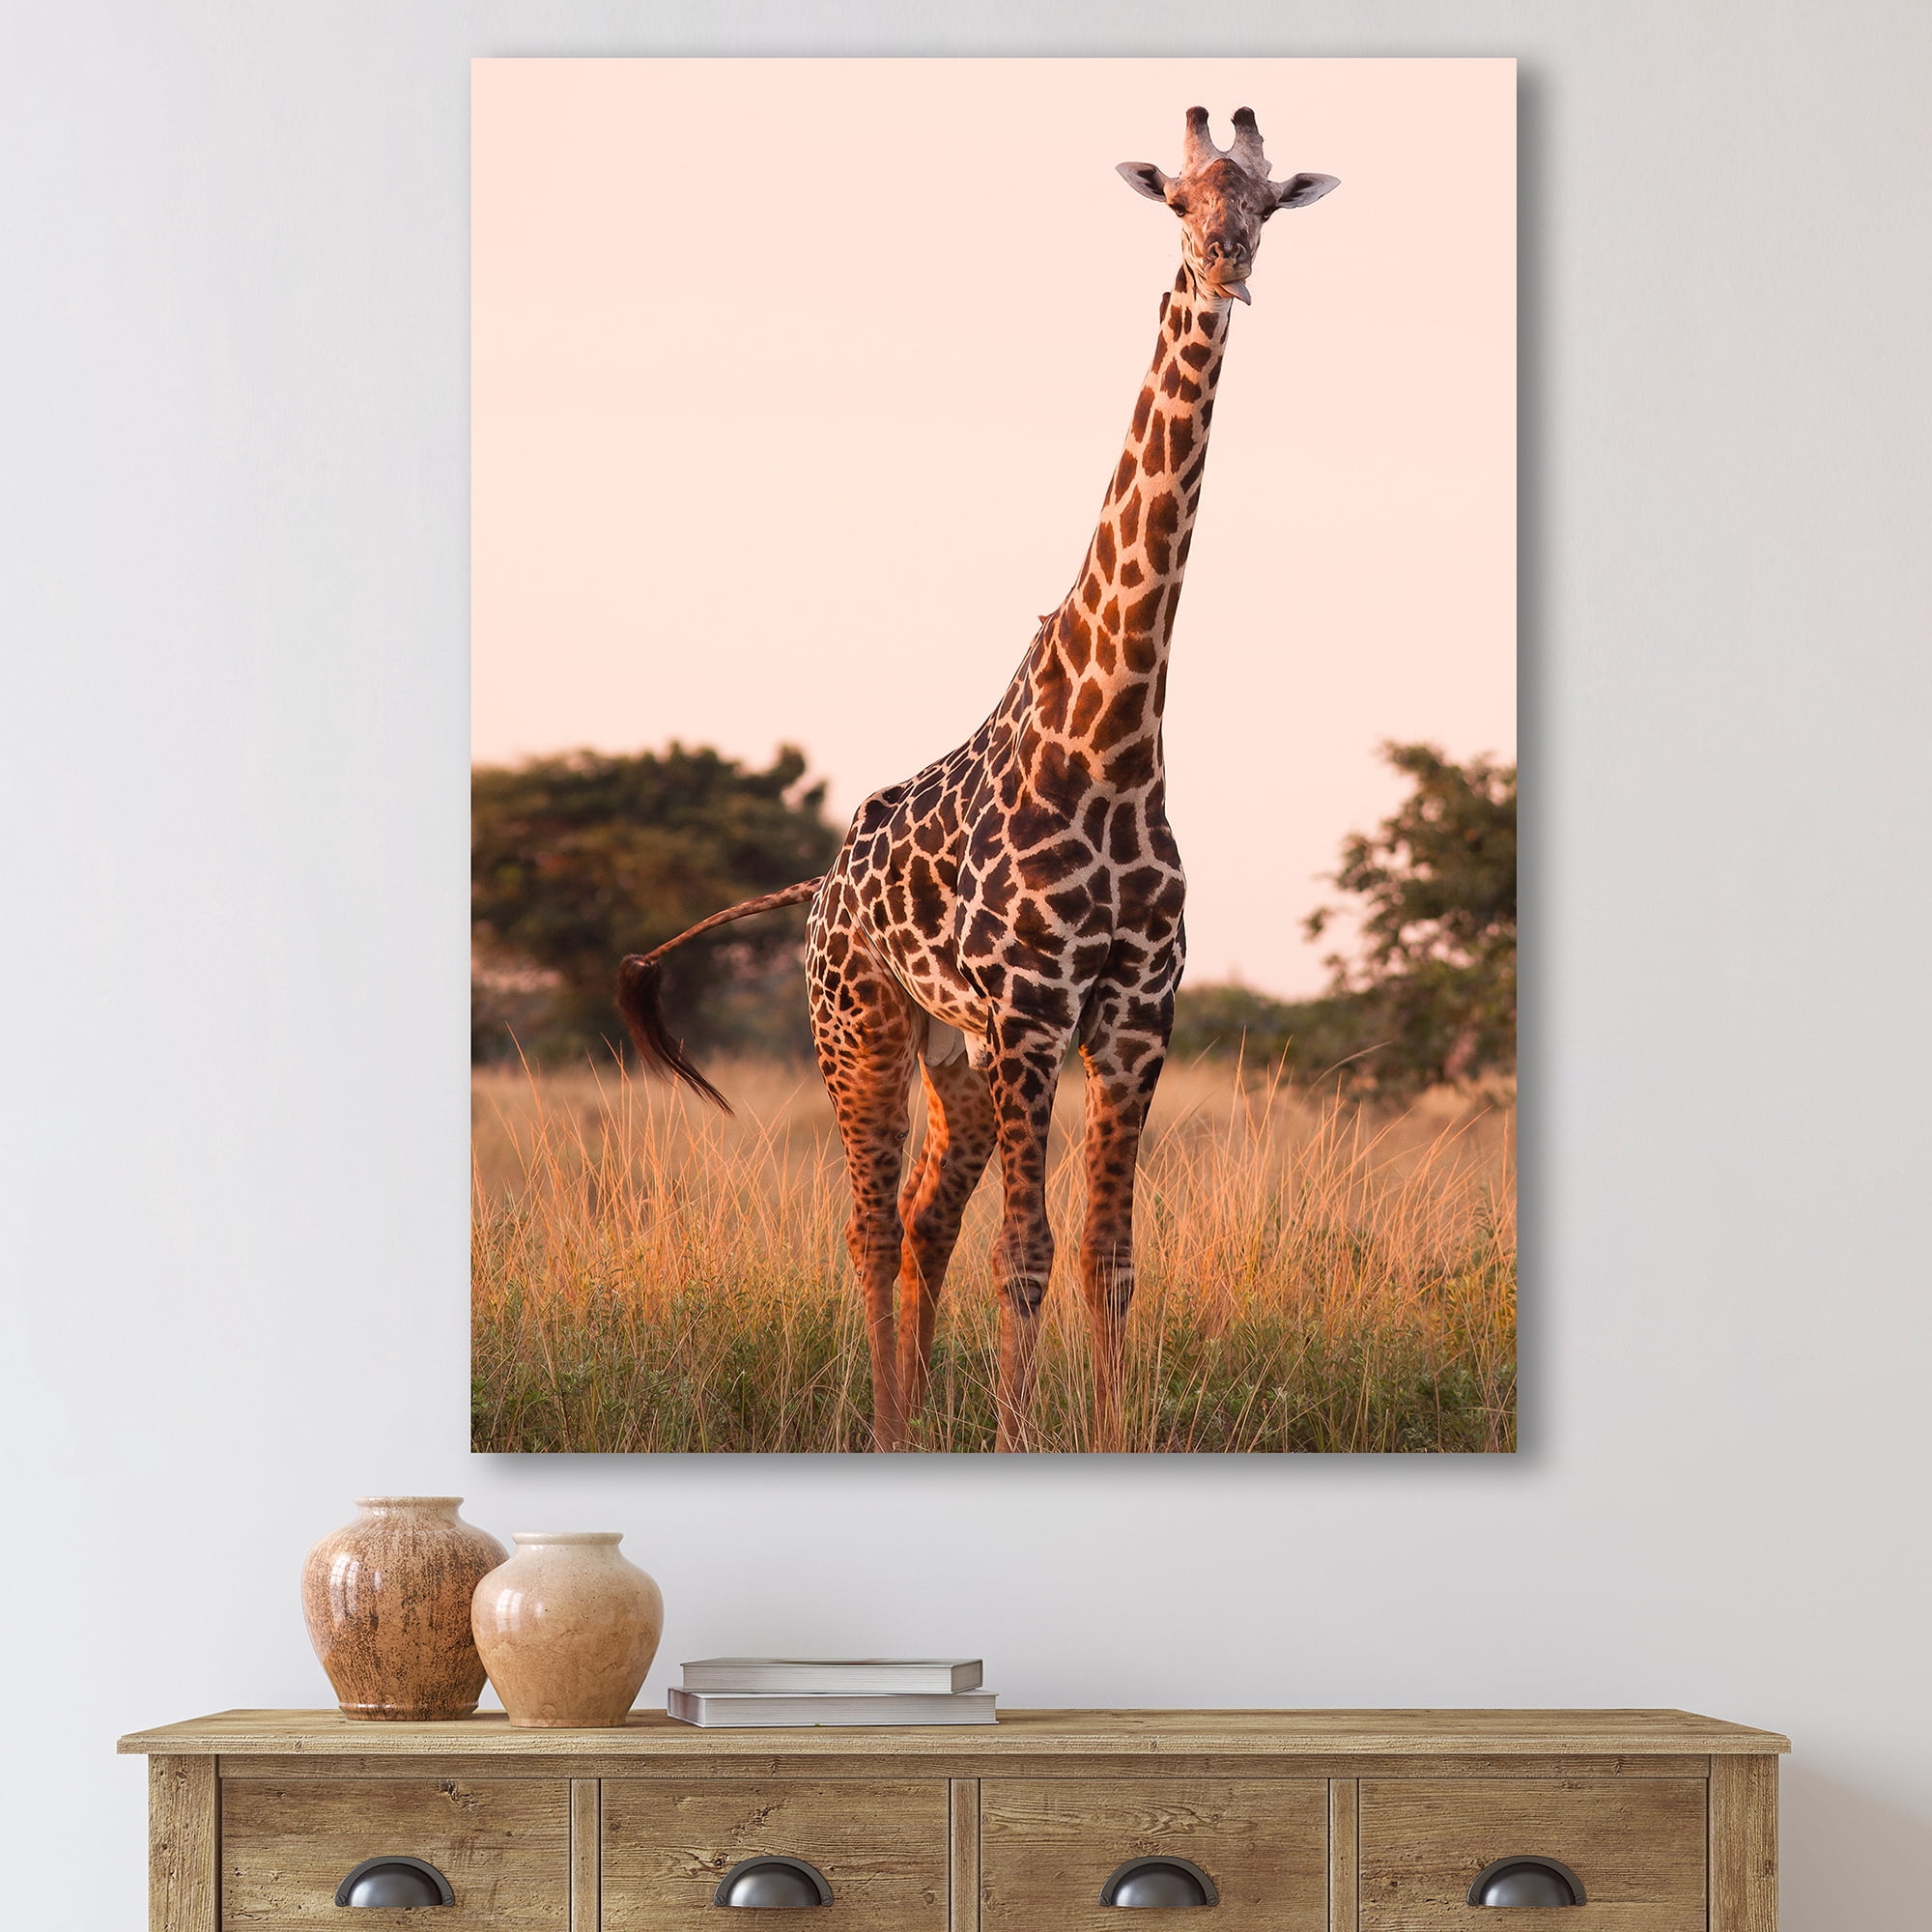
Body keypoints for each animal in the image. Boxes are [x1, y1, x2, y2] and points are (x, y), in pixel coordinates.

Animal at [618, 108, 1338, 1452]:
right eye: (1177, 202)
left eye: (1266, 202)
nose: (1224, 265)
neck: (1111, 744)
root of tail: (818, 888)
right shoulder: (1030, 1015)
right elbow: (1030, 1252)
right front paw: (1013, 1437)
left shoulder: (1132, 1019)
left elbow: (1108, 1255)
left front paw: (1110, 1435)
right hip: (859, 1027)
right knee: (866, 1225)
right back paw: (887, 1426)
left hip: (949, 1057)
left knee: (918, 1222)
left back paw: (908, 1418)